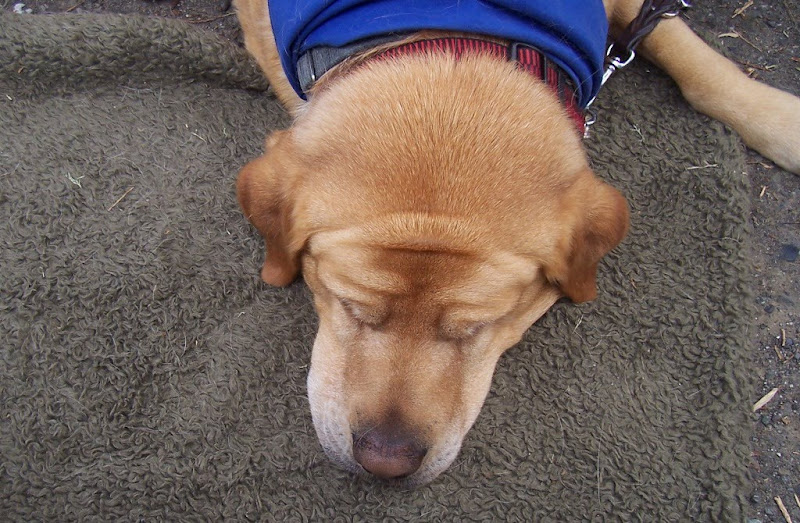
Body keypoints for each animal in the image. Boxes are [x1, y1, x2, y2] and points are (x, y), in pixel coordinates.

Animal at [233, 0, 800, 488]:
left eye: (478, 327)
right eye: (349, 306)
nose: (386, 461)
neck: (447, 31)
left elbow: (691, 58)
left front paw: (780, 121)